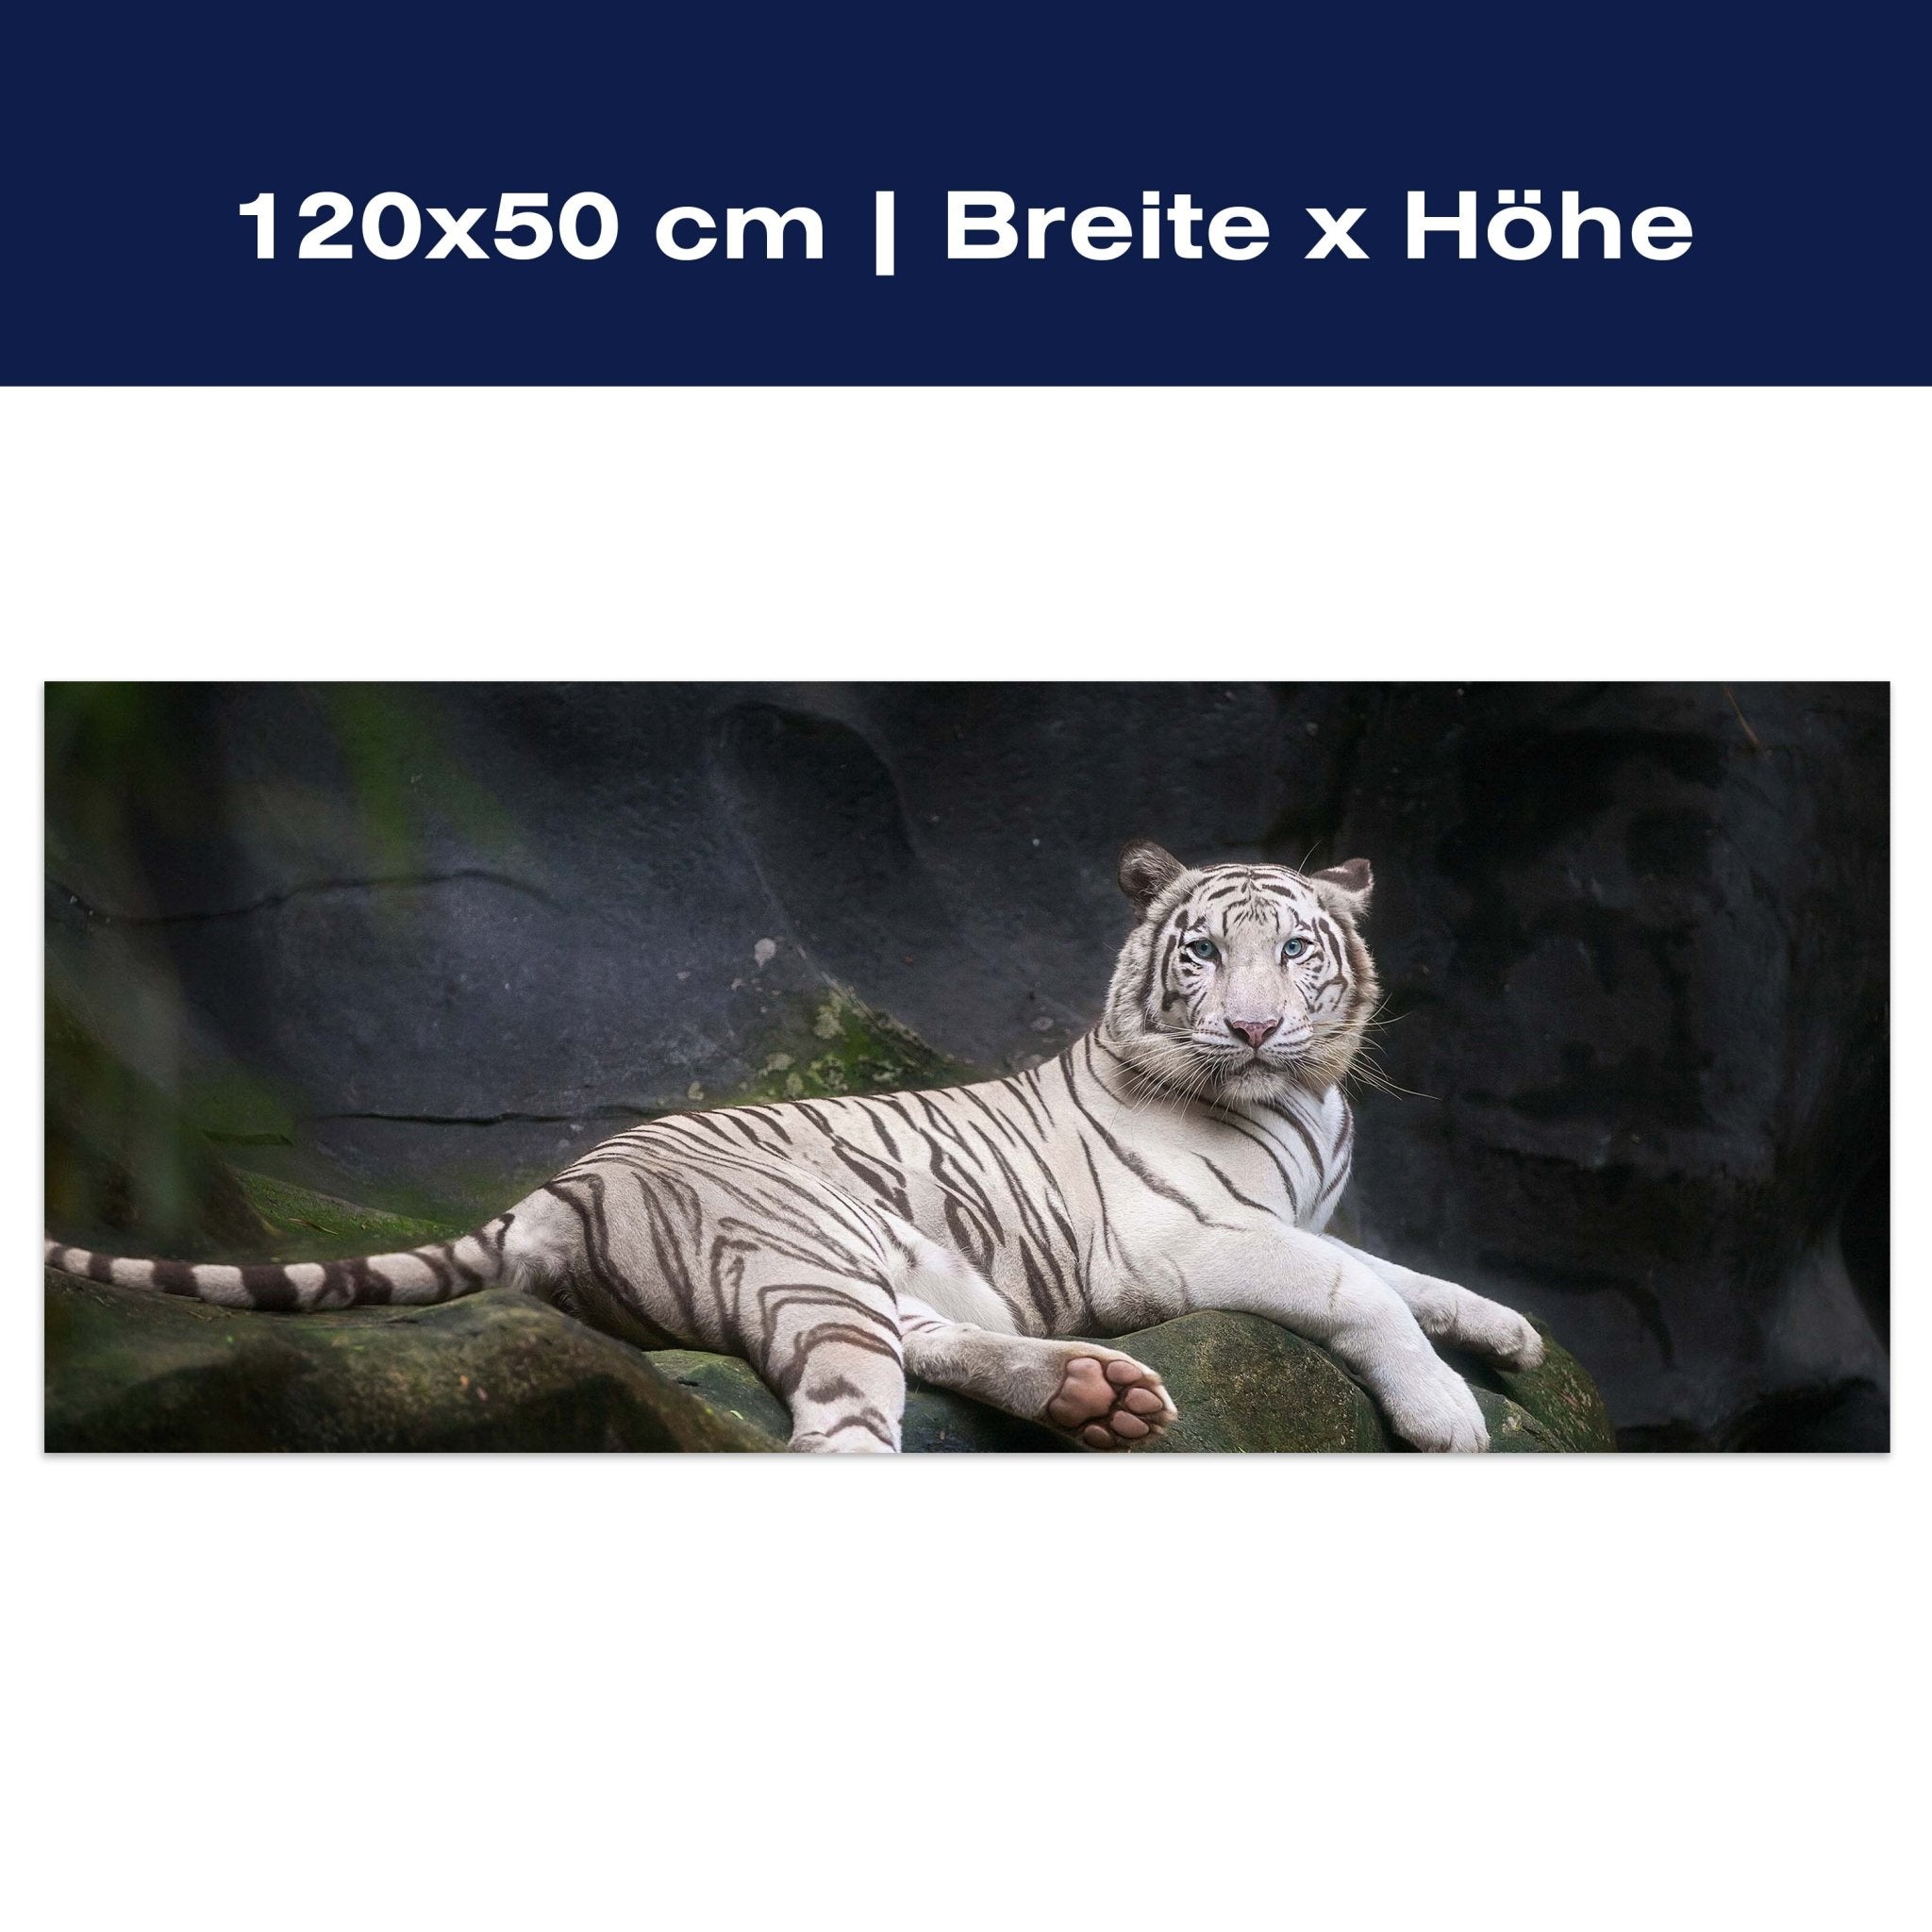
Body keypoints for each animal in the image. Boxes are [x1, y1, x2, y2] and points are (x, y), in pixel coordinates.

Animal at [44, 840, 1545, 1451]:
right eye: (1200, 954)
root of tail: (553, 1184)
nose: (1251, 1026)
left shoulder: (1291, 1215)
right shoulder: (1183, 1241)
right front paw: (1450, 1417)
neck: (1304, 1101)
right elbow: (1357, 1289)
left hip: (860, 1260)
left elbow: (1407, 1275)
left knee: (922, 1343)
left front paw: (1510, 1333)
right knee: (843, 1420)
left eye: (1295, 949)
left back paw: (1089, 1397)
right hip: (803, 1246)